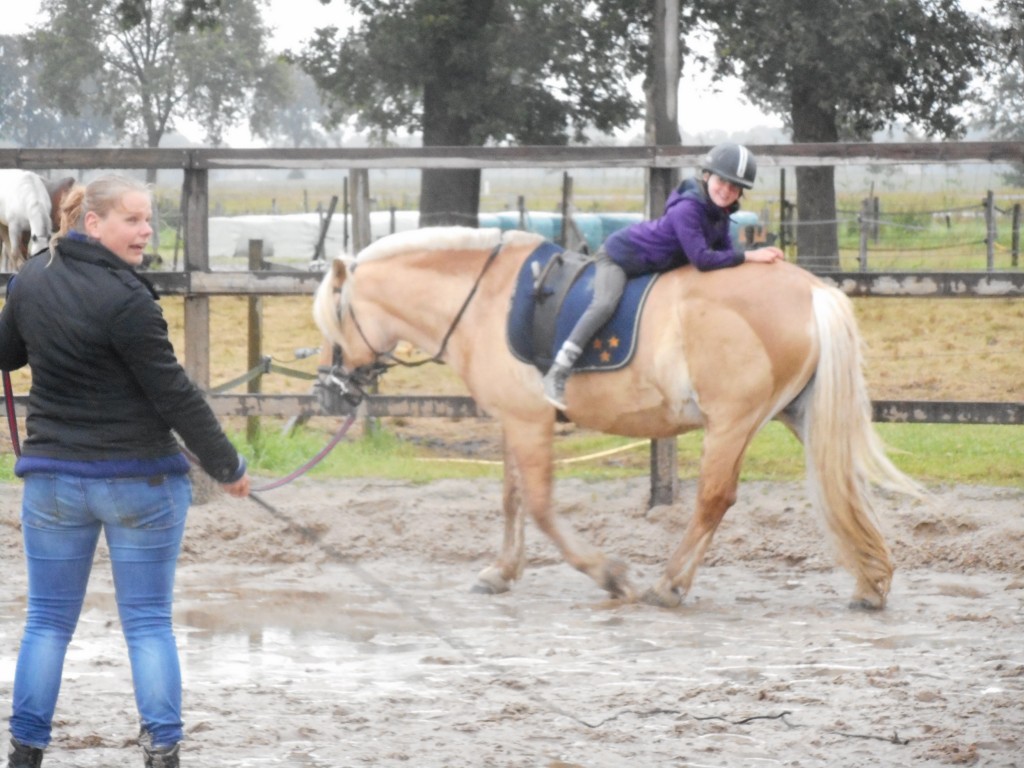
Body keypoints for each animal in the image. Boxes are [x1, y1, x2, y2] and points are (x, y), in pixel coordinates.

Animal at [313, 226, 922, 610]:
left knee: (714, 500)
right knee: (845, 487)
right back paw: (871, 584)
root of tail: (813, 289)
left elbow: (539, 506)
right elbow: (512, 498)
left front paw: (609, 575)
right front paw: (501, 572)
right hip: (799, 414)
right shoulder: (514, 420)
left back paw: (668, 585)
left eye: (334, 320)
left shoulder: (529, 421)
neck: (484, 300)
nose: (328, 392)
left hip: (732, 423)